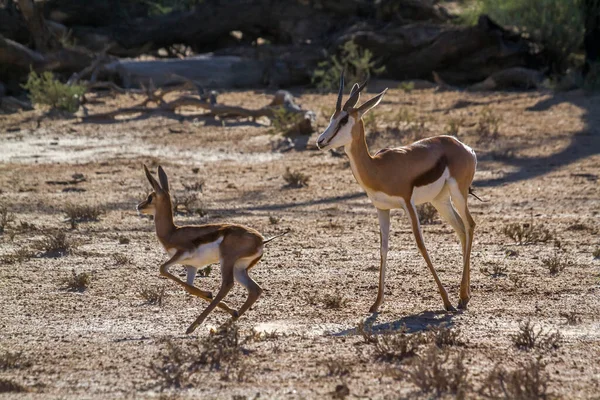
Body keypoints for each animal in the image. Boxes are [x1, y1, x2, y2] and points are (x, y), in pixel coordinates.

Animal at [138, 164, 284, 332]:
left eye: (150, 197)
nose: (139, 206)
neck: (172, 233)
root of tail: (260, 240)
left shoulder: (182, 254)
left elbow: (162, 269)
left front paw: (208, 294)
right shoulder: (192, 266)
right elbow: (189, 287)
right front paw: (215, 299)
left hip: (226, 261)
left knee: (227, 284)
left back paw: (193, 326)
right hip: (239, 268)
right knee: (255, 290)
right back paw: (227, 322)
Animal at [316, 75, 476, 312]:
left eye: (344, 120)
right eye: (331, 118)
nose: (320, 141)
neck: (378, 168)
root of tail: (464, 147)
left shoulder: (408, 204)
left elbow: (421, 245)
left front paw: (446, 302)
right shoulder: (382, 209)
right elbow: (383, 249)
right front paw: (376, 304)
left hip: (459, 194)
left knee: (470, 225)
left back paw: (461, 297)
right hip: (440, 201)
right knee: (461, 230)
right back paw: (464, 295)